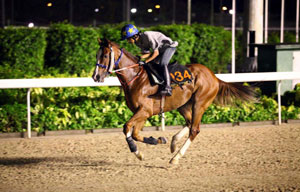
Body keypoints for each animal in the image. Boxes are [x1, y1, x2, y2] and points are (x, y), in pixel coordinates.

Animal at [92, 38, 255, 164]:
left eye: (105, 55)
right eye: (96, 55)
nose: (96, 76)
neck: (135, 78)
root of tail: (214, 76)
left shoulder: (145, 111)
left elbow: (127, 128)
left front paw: (137, 152)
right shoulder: (142, 113)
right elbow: (136, 134)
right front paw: (157, 140)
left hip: (199, 103)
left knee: (194, 129)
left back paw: (175, 158)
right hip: (183, 105)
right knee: (189, 124)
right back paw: (173, 143)